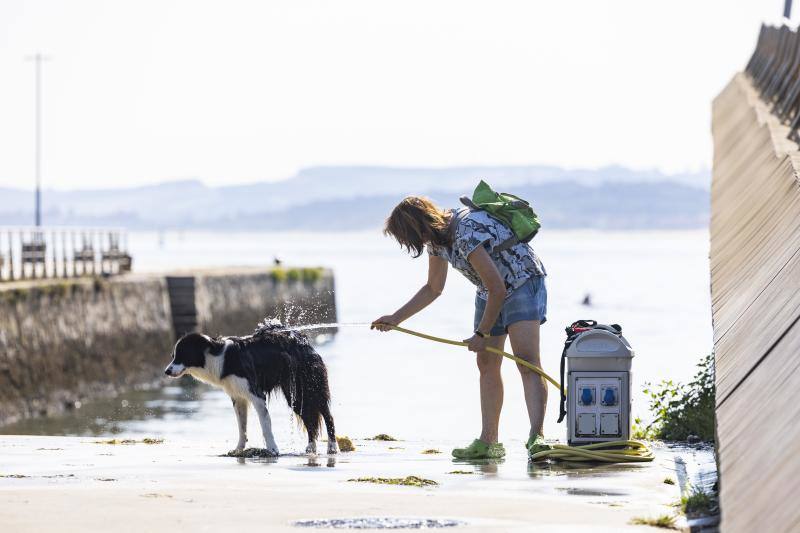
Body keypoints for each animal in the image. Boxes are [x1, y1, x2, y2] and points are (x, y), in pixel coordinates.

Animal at [164, 318, 336, 456]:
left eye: (182, 355)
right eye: (173, 356)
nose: (166, 371)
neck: (220, 358)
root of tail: (304, 342)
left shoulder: (256, 394)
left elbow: (265, 425)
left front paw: (273, 449)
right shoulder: (237, 397)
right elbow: (242, 427)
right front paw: (238, 450)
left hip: (309, 387)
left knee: (327, 416)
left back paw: (332, 447)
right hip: (295, 395)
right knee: (309, 418)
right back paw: (311, 448)